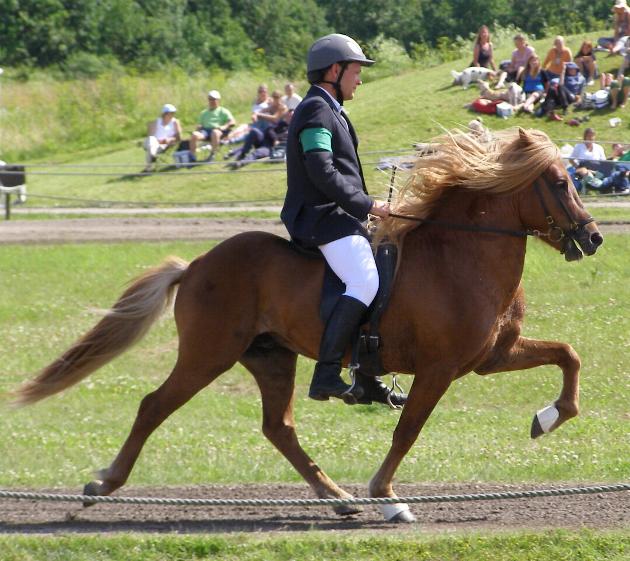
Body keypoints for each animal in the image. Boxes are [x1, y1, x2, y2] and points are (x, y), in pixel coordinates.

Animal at [14, 128, 604, 520]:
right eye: (559, 182)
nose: (594, 238)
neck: (460, 256)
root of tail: (198, 264)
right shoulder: (438, 370)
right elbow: (408, 430)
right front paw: (386, 496)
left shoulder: (491, 358)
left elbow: (569, 354)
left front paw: (550, 417)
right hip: (208, 354)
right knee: (153, 406)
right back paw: (102, 485)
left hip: (270, 357)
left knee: (278, 427)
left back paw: (336, 499)